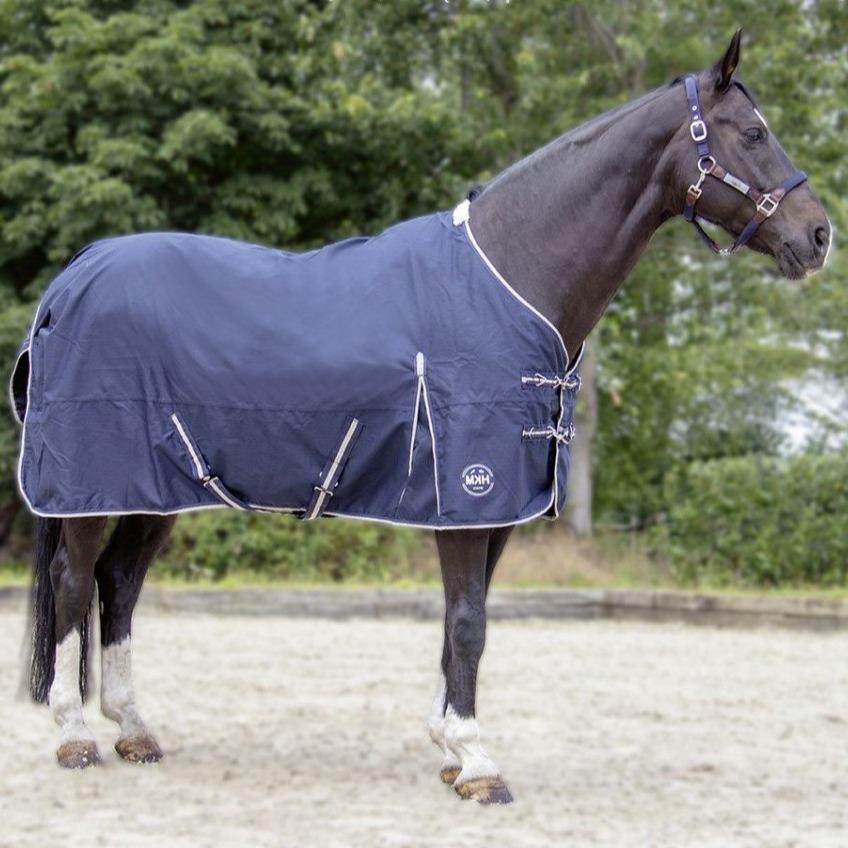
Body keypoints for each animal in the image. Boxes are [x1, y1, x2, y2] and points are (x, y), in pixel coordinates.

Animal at [15, 31, 830, 804]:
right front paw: (478, 762)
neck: (510, 278)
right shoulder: (468, 494)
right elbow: (468, 623)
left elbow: (460, 622)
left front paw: (448, 749)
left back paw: (134, 729)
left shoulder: (495, 508)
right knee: (76, 580)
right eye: (753, 132)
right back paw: (75, 735)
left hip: (157, 489)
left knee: (120, 582)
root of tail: (74, 275)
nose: (819, 236)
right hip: (92, 488)